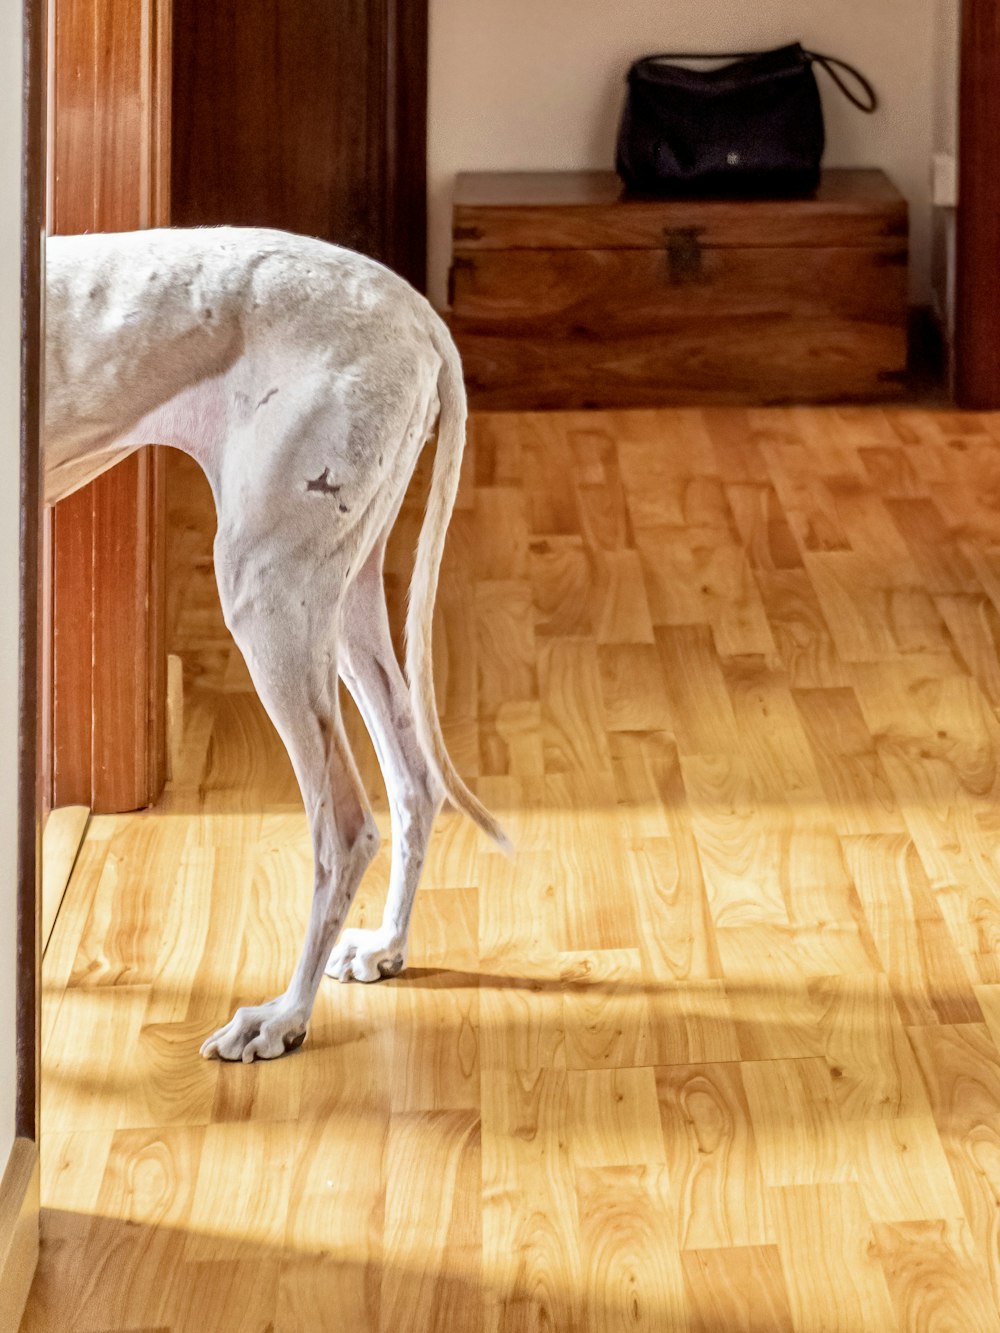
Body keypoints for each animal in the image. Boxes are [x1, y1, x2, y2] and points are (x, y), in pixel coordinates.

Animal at [46, 226, 509, 1061]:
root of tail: (416, 312)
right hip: (339, 592)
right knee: (413, 777)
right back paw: (385, 945)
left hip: (267, 591)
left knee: (346, 828)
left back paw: (283, 1017)